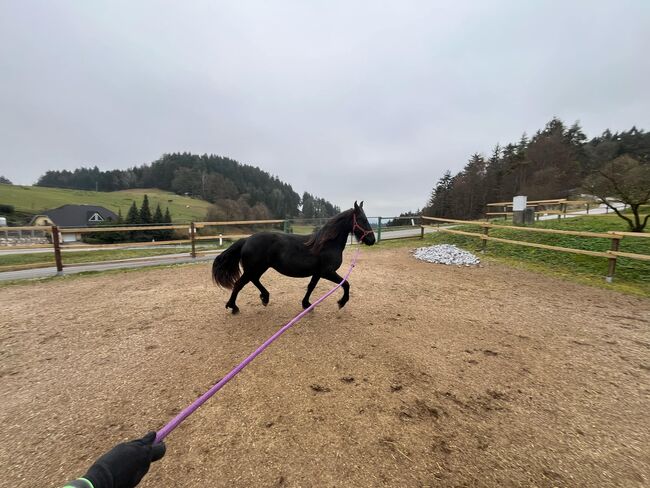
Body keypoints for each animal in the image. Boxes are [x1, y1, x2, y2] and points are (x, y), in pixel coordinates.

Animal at [213, 201, 374, 312]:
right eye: (363, 220)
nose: (372, 240)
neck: (327, 244)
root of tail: (246, 240)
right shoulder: (327, 272)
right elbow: (346, 284)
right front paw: (341, 302)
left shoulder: (318, 273)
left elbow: (311, 287)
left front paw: (306, 304)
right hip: (253, 269)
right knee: (239, 284)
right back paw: (234, 307)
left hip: (258, 269)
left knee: (254, 280)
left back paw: (265, 297)